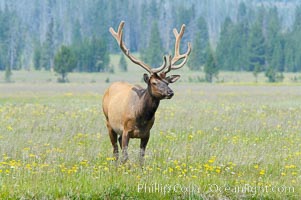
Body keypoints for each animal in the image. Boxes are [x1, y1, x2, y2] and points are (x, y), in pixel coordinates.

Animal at [101, 21, 190, 163]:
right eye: (154, 82)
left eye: (167, 82)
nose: (170, 92)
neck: (140, 117)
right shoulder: (125, 130)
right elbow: (125, 156)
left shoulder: (146, 134)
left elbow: (141, 157)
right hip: (109, 122)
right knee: (115, 150)